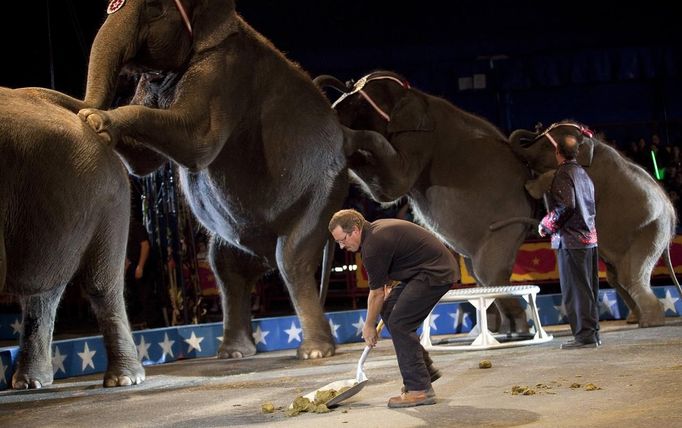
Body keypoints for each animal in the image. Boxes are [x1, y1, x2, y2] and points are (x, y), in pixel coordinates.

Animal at [72, 0, 354, 360]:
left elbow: (196, 139)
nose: (80, 110)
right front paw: (94, 121)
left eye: (154, 9)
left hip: (324, 190)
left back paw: (314, 352)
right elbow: (144, 161)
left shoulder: (226, 68)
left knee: (292, 259)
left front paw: (97, 120)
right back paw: (233, 353)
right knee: (225, 267)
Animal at [314, 72, 540, 332]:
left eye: (360, 104)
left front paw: (348, 138)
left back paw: (517, 330)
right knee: (478, 273)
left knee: (488, 273)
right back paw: (501, 330)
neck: (413, 94)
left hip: (505, 227)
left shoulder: (419, 139)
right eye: (349, 91)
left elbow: (392, 189)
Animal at [508, 118, 676, 326]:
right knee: (616, 277)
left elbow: (557, 179)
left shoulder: (592, 174)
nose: (538, 127)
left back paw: (649, 322)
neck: (591, 142)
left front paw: (529, 186)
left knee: (630, 275)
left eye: (547, 146)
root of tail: (672, 221)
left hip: (651, 233)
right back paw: (634, 319)